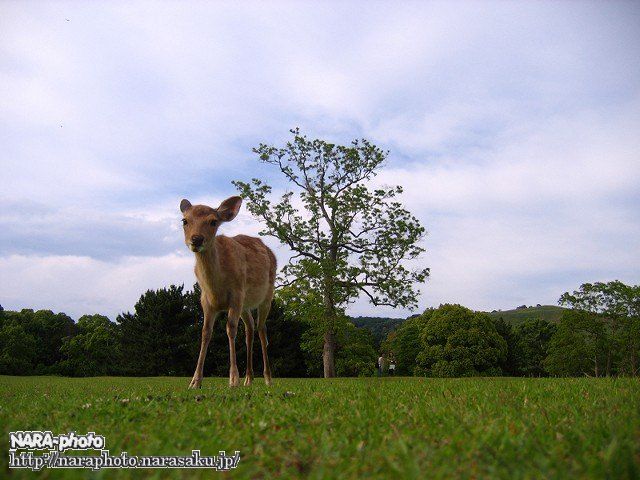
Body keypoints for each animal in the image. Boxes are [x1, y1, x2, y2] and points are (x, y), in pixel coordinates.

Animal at [179, 195, 276, 386]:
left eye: (213, 221)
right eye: (184, 220)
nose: (196, 239)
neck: (216, 286)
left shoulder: (236, 294)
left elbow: (230, 329)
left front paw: (233, 379)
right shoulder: (206, 301)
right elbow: (205, 333)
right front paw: (195, 381)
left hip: (267, 295)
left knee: (262, 329)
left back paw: (268, 378)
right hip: (245, 306)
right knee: (250, 329)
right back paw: (249, 379)